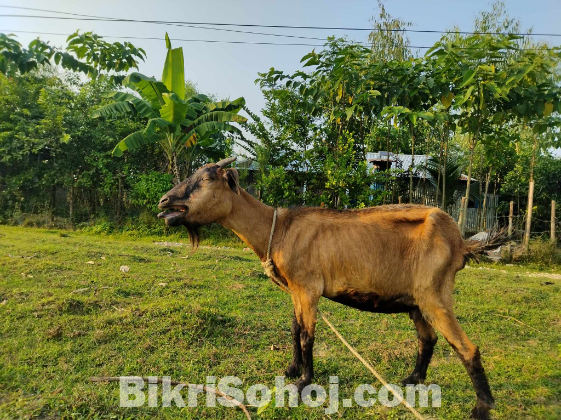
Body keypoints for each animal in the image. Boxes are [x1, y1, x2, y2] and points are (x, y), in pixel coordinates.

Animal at [158, 157, 501, 420]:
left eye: (205, 178)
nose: (164, 202)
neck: (278, 230)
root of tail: (461, 243)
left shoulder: (308, 288)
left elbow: (308, 335)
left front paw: (303, 383)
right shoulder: (296, 289)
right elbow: (295, 329)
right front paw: (291, 369)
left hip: (435, 295)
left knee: (466, 347)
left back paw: (482, 407)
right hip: (417, 301)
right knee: (427, 339)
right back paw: (413, 380)